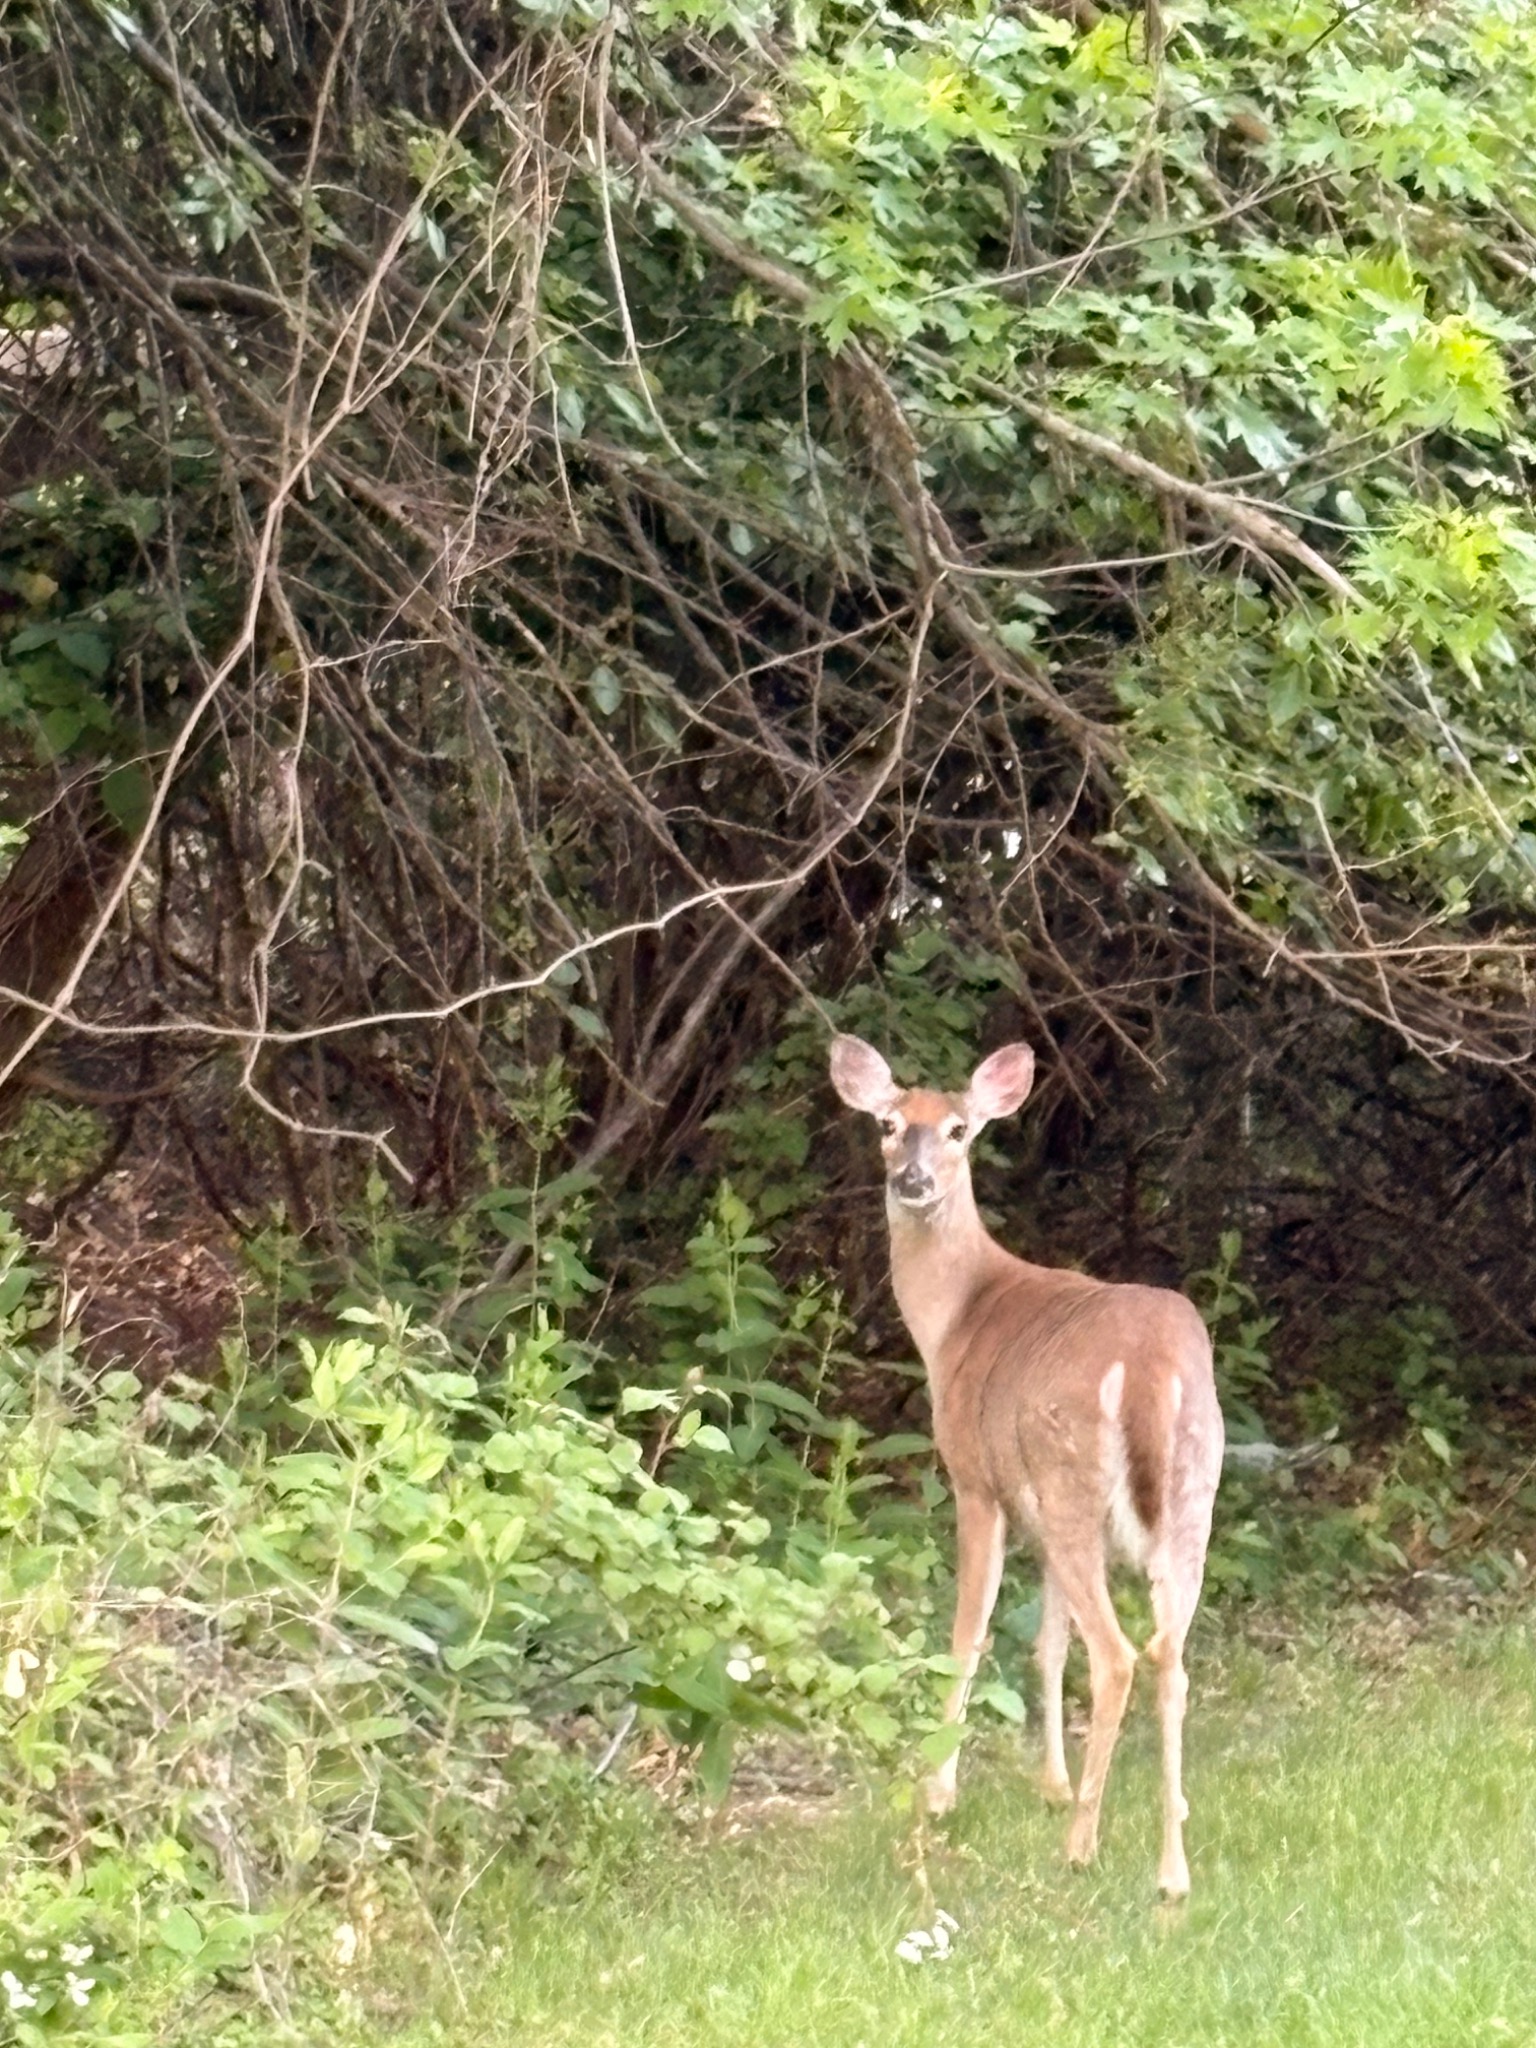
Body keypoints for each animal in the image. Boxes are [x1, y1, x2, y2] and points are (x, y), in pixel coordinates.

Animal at [829, 1033, 1223, 1897]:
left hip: (1074, 1476)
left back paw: (1082, 1849)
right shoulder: (1035, 1507)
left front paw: (939, 1791)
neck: (954, 1321)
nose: (912, 1180)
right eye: (887, 1124)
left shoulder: (978, 1481)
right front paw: (1054, 1783)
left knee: (1117, 1657)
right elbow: (1047, 1642)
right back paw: (1172, 1869)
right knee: (1170, 1657)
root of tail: (1150, 1365)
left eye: (959, 1130)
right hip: (1189, 1495)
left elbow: (968, 1636)